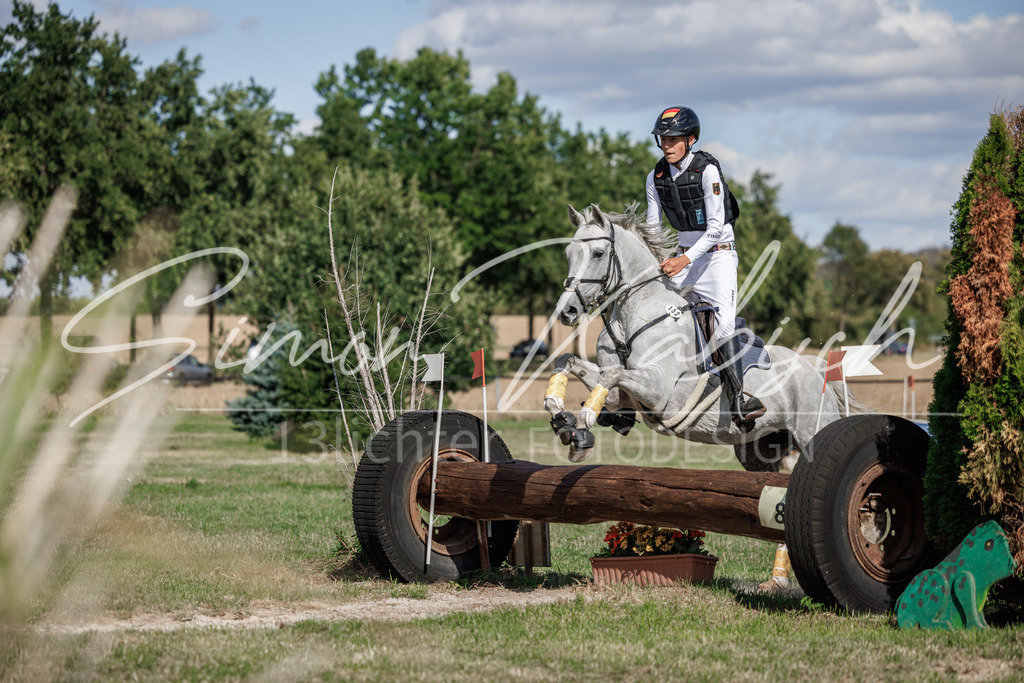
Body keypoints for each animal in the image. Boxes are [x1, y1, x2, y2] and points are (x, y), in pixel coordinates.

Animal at [544, 203, 848, 471]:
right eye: (568, 253)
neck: (633, 315)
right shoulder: (621, 398)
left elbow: (610, 376)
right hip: (759, 448)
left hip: (810, 432)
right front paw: (558, 411)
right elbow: (569, 361)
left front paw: (583, 420)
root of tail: (813, 367)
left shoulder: (658, 390)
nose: (567, 311)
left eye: (597, 253)